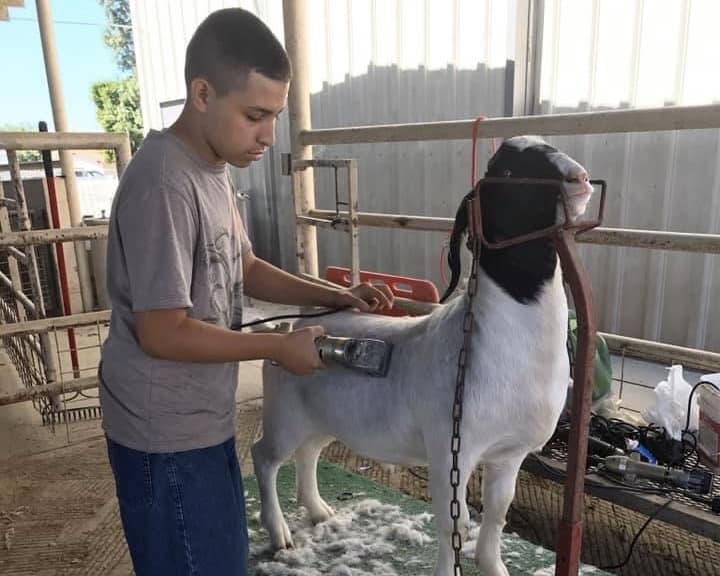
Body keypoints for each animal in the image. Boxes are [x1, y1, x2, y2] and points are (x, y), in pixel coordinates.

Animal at [253, 136, 596, 576]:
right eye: (503, 170)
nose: (579, 178)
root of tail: (291, 327)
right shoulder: (450, 450)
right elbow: (455, 524)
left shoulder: (508, 453)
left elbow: (497, 513)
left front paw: (493, 566)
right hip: (284, 414)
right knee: (265, 457)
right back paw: (279, 532)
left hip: (322, 418)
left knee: (308, 453)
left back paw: (318, 511)